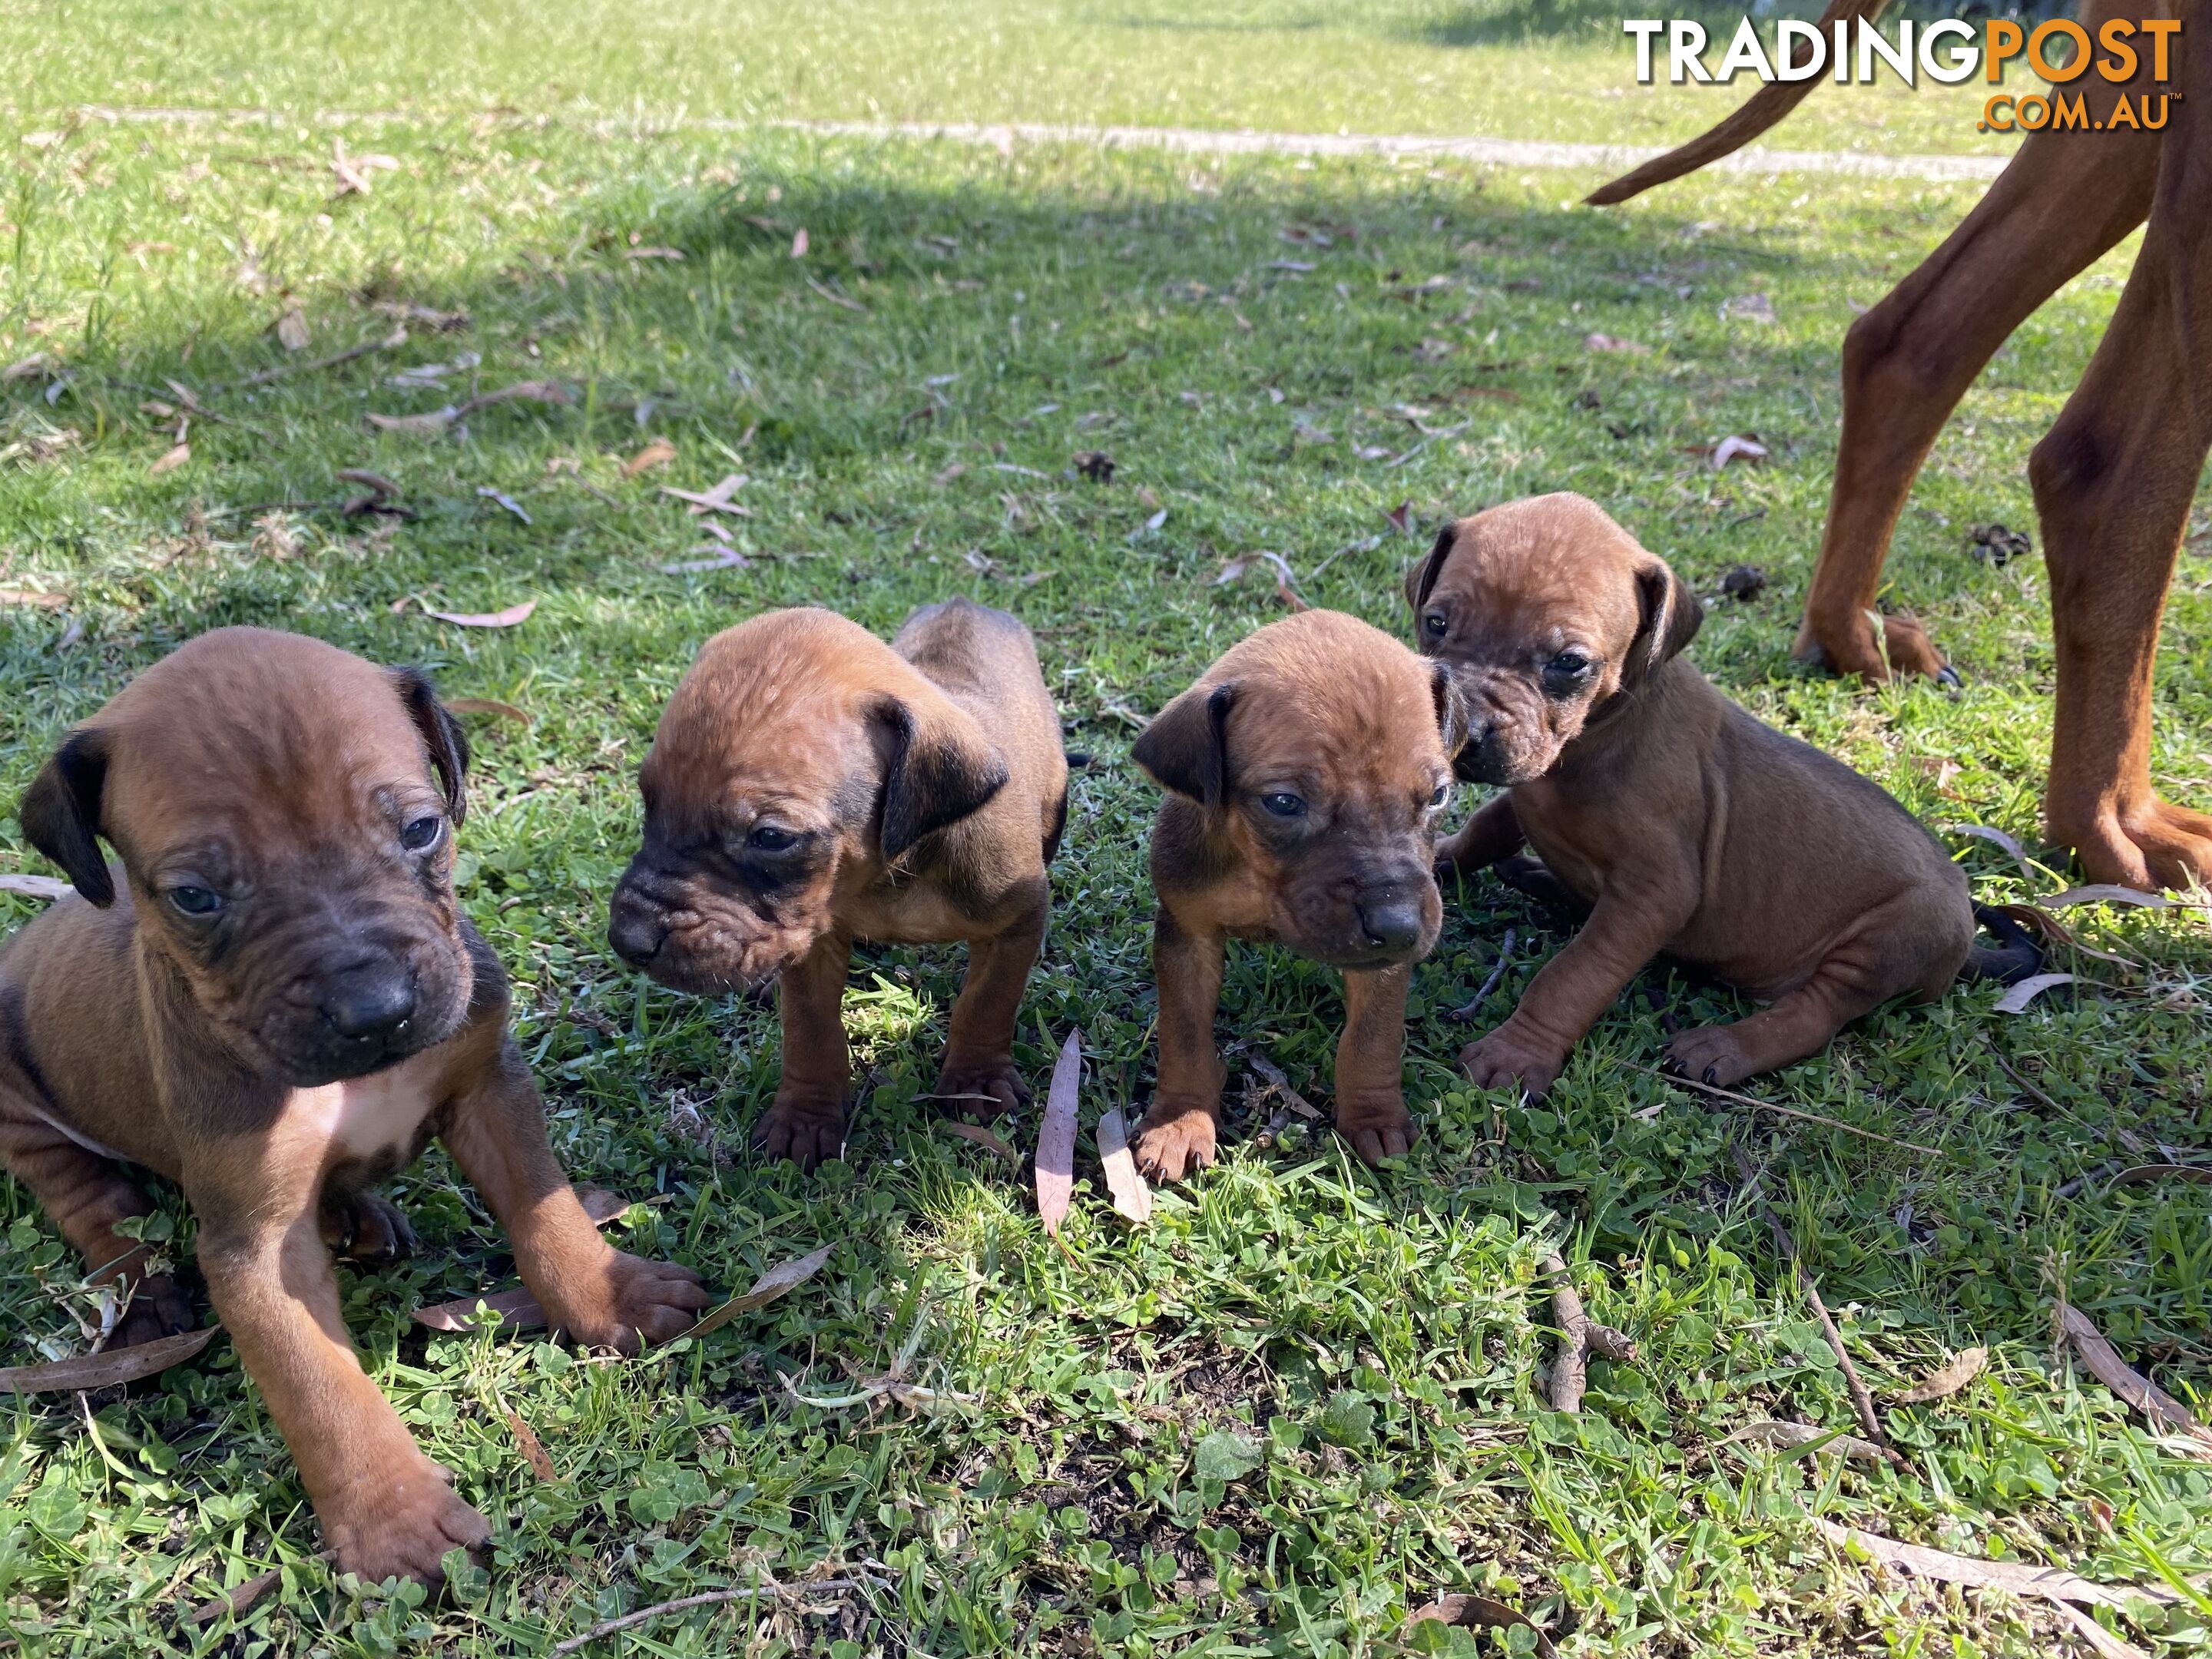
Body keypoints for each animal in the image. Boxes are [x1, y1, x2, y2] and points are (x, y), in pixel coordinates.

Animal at [0, 628, 707, 1592]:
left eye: (421, 830)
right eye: (195, 897)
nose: (377, 1010)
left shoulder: (489, 1088)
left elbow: (547, 1209)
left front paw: (610, 1291)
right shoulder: (256, 1248)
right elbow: (321, 1386)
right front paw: (393, 1516)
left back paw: (358, 1216)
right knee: (89, 1201)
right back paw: (142, 1292)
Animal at [610, 606, 1066, 1177]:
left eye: (771, 838)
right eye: (649, 802)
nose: (627, 940)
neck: (892, 870)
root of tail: (967, 603)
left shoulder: (1015, 918)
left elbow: (988, 1000)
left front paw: (976, 1080)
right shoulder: (810, 940)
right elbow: (810, 1030)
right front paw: (806, 1116)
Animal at [1124, 610, 1469, 1185]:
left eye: (1438, 796)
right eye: (1284, 803)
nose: (1399, 927)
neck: (1257, 872)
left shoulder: (1381, 964)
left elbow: (1371, 1039)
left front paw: (1374, 1115)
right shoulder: (1186, 935)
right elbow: (1185, 1034)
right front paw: (1181, 1120)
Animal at [1406, 493, 2026, 1106]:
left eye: (1570, 663)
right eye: (1435, 623)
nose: (1463, 733)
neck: (1597, 736)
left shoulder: (1654, 892)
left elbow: (1574, 973)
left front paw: (1518, 1051)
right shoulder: (1527, 801)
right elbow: (1486, 829)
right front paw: (1440, 860)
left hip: (1887, 941)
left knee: (1814, 1014)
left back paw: (1725, 1047)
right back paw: (1538, 876)